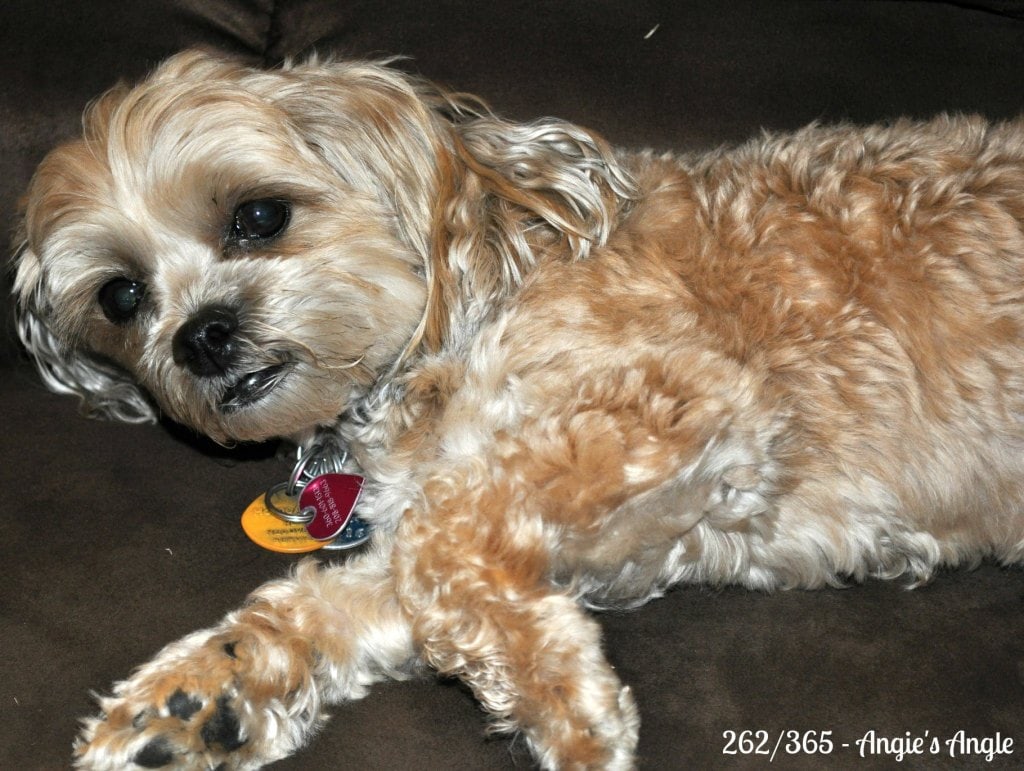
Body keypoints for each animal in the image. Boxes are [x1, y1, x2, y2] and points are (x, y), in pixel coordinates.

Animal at [12, 51, 1024, 765]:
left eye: (258, 218)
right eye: (121, 296)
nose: (199, 337)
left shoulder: (675, 400)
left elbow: (437, 549)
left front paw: (567, 706)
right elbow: (350, 596)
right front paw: (200, 696)